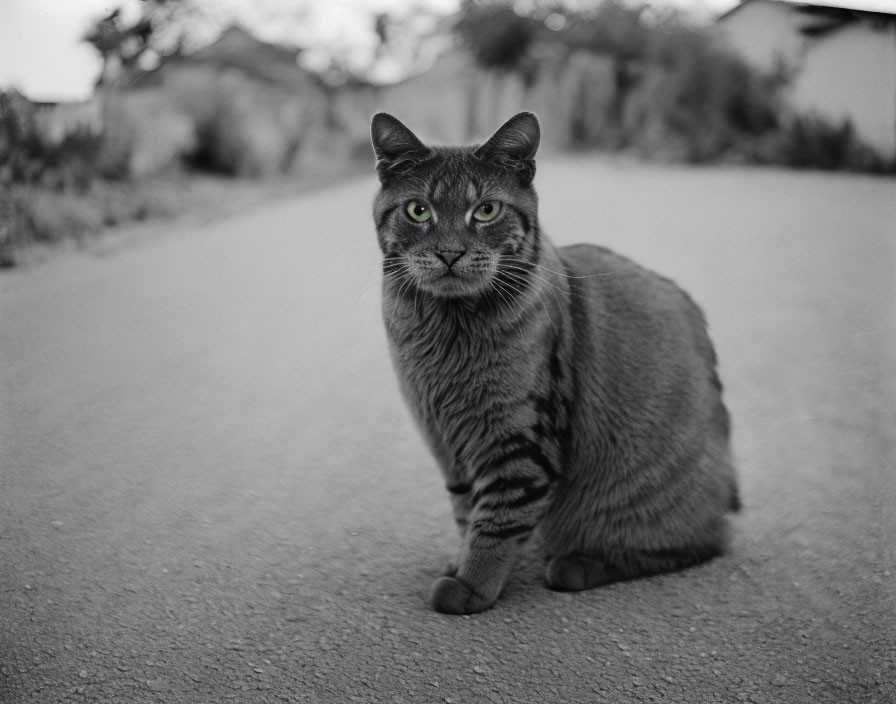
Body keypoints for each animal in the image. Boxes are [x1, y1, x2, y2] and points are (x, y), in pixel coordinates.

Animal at [368, 113, 740, 612]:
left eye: (486, 211)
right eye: (418, 211)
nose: (450, 253)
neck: (450, 335)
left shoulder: (521, 441)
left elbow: (497, 521)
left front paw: (472, 585)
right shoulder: (449, 447)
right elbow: (467, 513)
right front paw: (462, 562)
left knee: (698, 544)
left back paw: (578, 564)